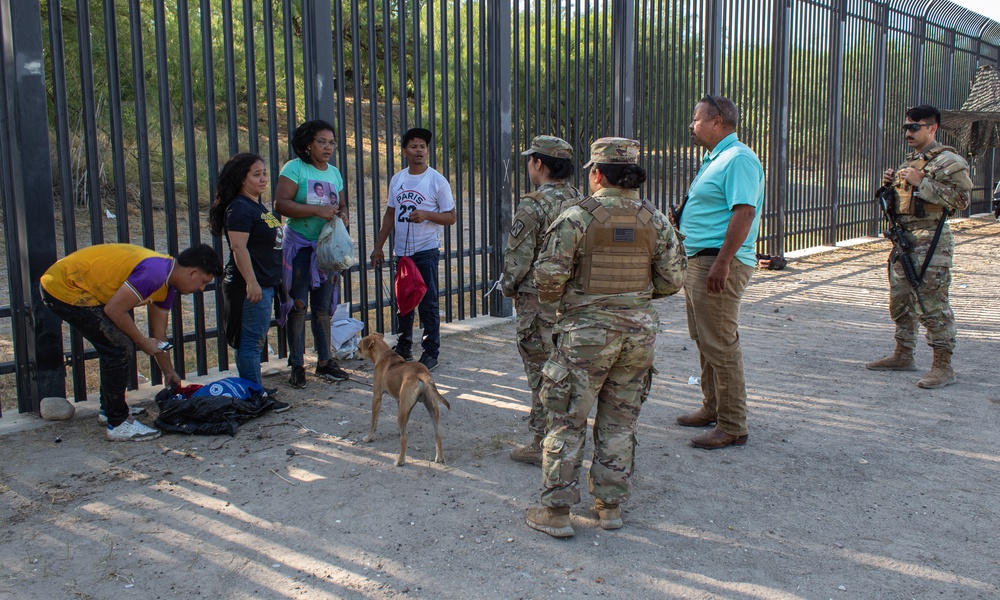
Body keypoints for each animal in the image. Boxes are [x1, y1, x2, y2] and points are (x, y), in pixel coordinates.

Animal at [358, 332, 452, 464]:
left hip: (403, 412)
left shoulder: (376, 397)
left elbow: (373, 422)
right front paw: (400, 430)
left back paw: (399, 461)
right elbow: (403, 427)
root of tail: (421, 373)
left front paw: (369, 437)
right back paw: (439, 458)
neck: (384, 355)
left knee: (404, 439)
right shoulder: (399, 401)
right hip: (430, 408)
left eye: (358, 348)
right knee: (437, 434)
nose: (354, 354)